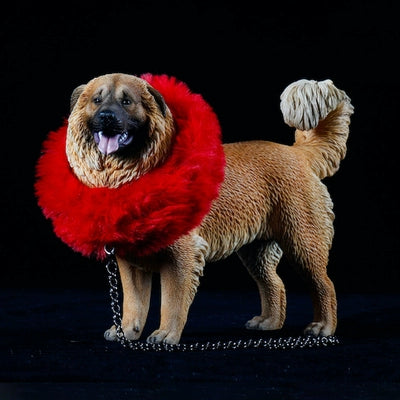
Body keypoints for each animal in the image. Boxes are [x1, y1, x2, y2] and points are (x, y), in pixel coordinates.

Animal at [62, 72, 354, 344]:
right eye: (96, 100)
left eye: (127, 101)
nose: (106, 117)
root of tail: (298, 154)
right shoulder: (131, 263)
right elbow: (133, 303)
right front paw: (127, 332)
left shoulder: (181, 258)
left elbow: (172, 301)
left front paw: (165, 334)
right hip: (256, 251)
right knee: (275, 284)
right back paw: (268, 322)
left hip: (303, 242)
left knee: (324, 284)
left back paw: (323, 327)